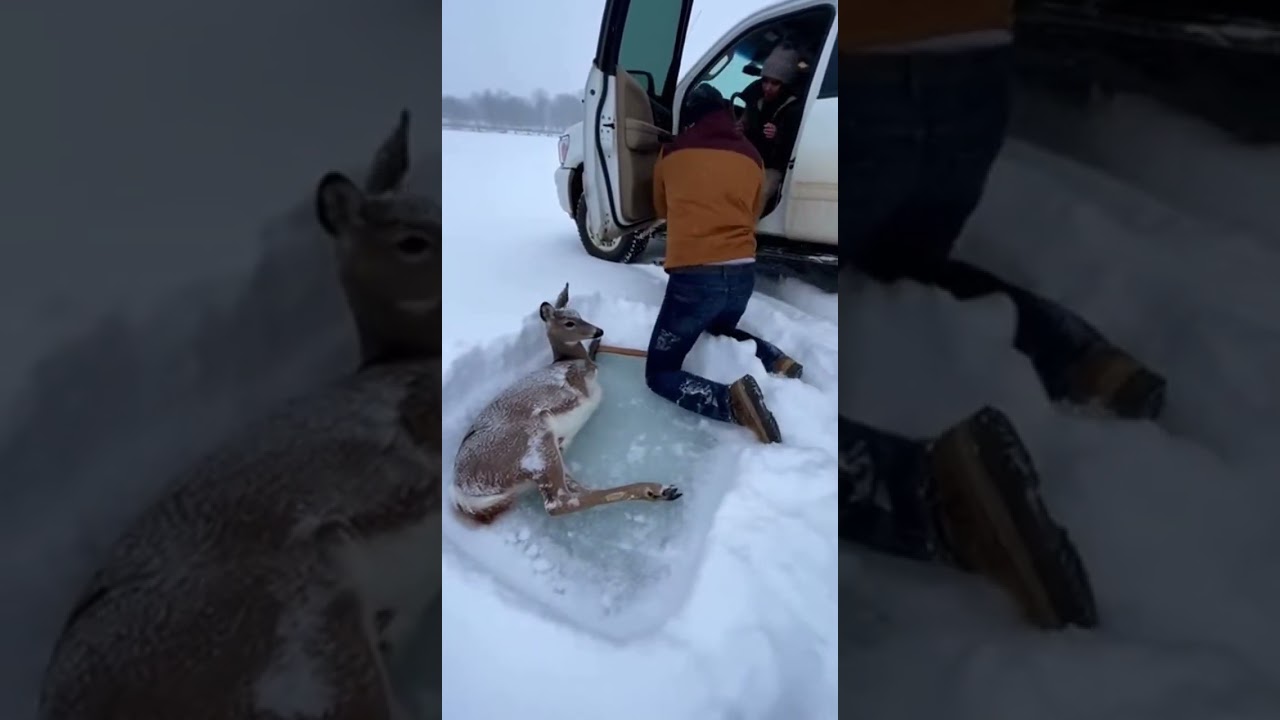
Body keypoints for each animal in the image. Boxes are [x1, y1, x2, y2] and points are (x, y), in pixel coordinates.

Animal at [452, 285, 683, 525]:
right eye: (569, 323)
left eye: (579, 314)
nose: (598, 331)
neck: (566, 359)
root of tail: (461, 492)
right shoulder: (574, 374)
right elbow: (585, 372)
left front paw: (595, 346)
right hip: (533, 443)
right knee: (559, 502)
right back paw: (657, 488)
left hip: (544, 457)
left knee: (577, 490)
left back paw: (658, 492)